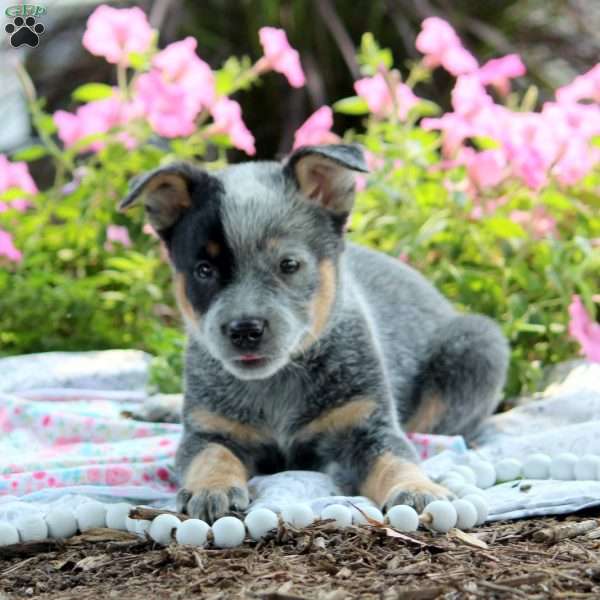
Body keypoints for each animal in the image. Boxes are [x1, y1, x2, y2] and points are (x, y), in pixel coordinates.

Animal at [122, 144, 510, 520]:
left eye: (289, 264)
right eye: (204, 270)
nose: (245, 329)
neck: (276, 385)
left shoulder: (366, 423)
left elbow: (394, 458)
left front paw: (418, 488)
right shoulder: (208, 429)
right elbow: (211, 456)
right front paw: (211, 488)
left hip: (479, 345)